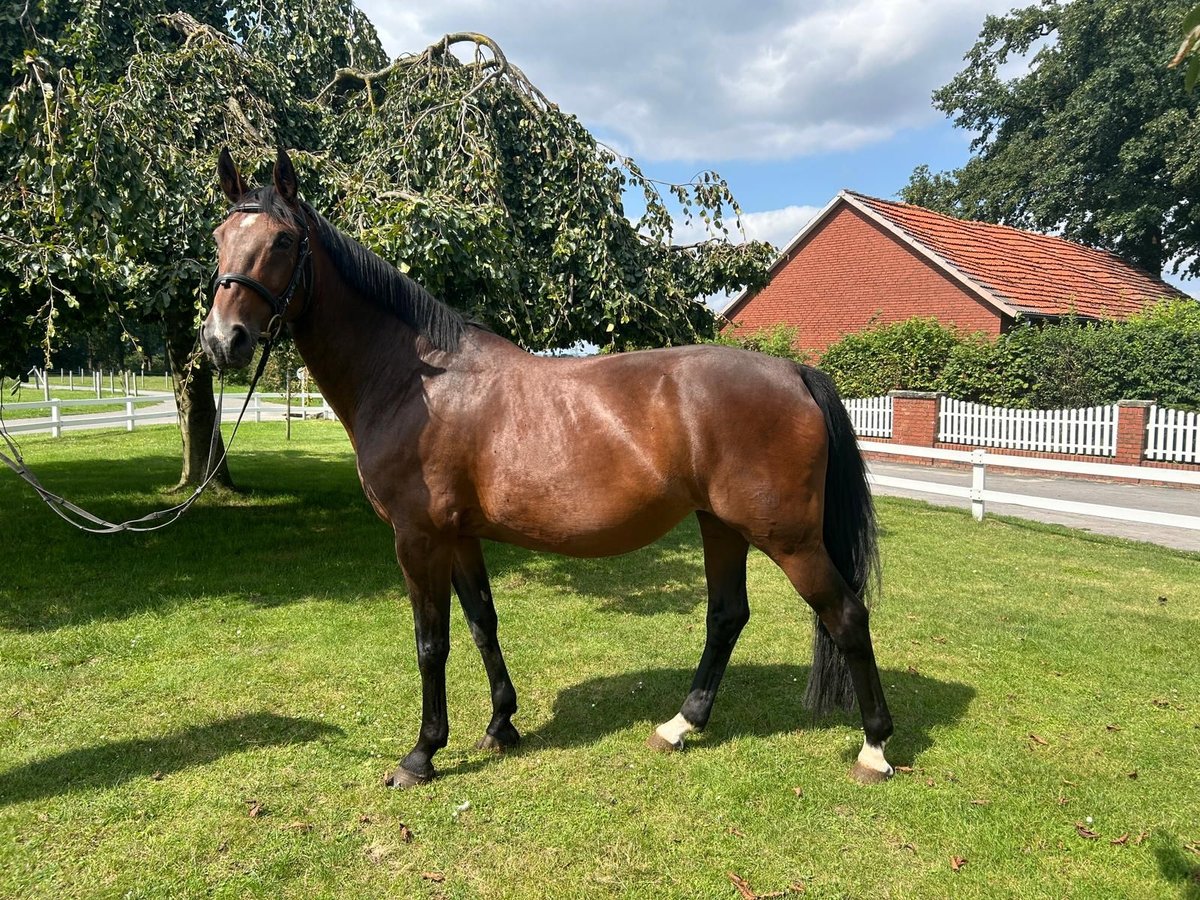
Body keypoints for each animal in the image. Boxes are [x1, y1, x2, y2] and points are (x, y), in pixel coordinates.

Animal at [199, 150, 892, 787]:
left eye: (283, 240)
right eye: (219, 237)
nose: (222, 341)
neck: (416, 381)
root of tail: (793, 371)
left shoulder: (418, 538)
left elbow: (431, 643)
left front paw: (421, 755)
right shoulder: (459, 536)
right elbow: (482, 623)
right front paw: (501, 725)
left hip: (788, 539)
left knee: (847, 616)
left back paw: (875, 749)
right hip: (720, 524)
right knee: (726, 616)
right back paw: (679, 725)